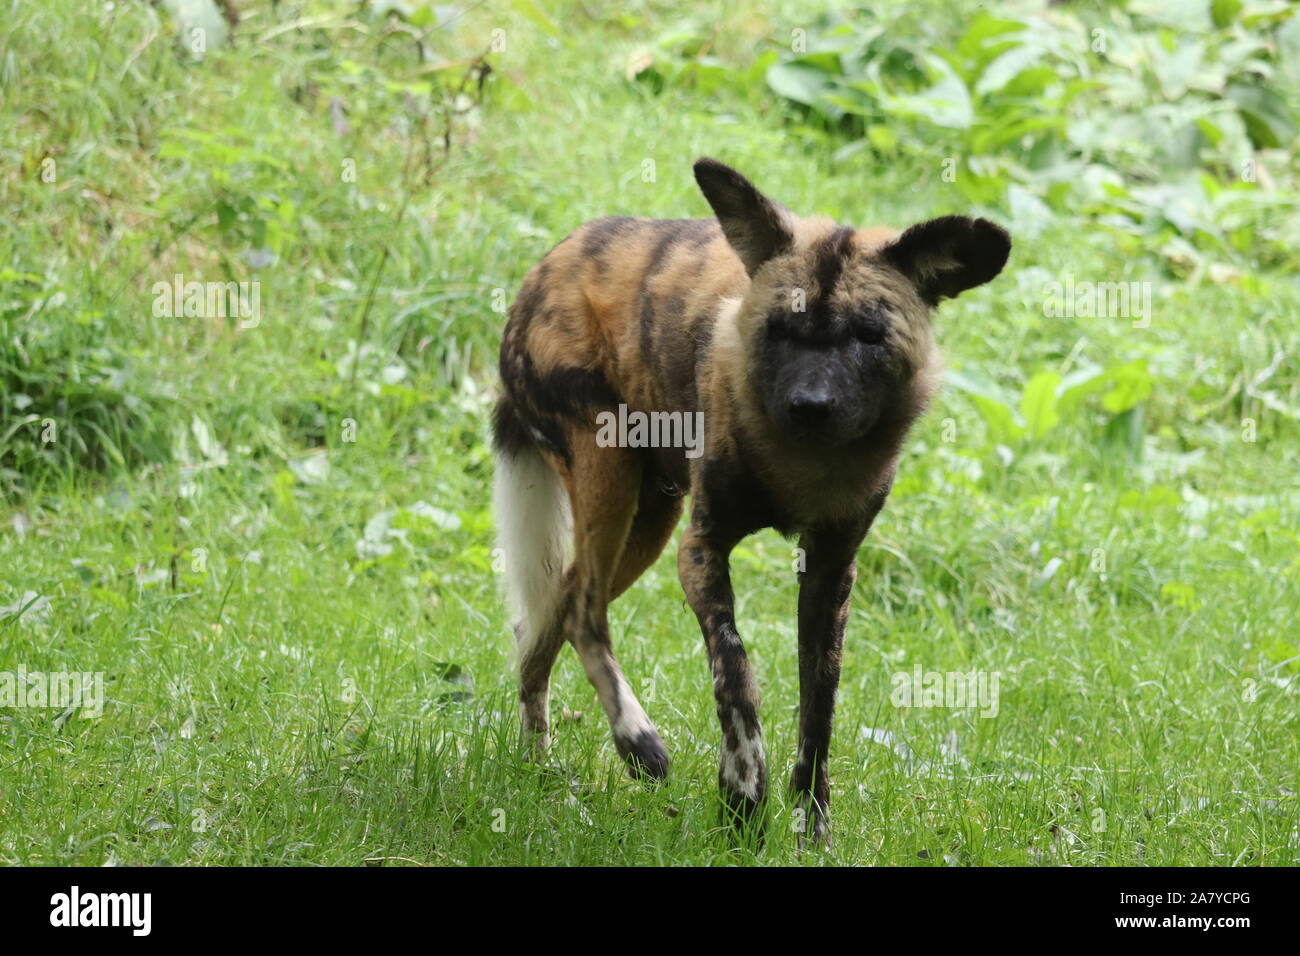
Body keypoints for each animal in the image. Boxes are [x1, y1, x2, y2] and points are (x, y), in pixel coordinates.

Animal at [491, 158, 1008, 842]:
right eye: (779, 329)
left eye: (868, 335)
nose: (810, 406)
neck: (804, 465)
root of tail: (542, 270)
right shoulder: (702, 550)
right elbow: (736, 675)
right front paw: (742, 794)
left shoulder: (830, 573)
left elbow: (819, 711)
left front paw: (812, 826)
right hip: (614, 482)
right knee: (583, 612)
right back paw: (638, 744)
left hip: (647, 522)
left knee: (550, 614)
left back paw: (539, 769)